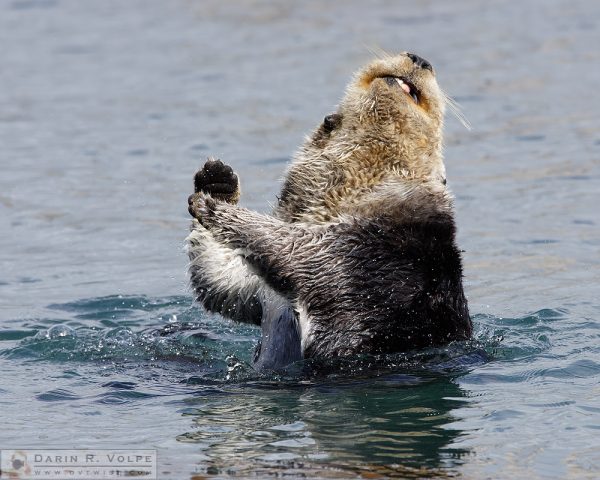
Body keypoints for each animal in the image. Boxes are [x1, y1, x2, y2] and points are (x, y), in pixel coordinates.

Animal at [185, 51, 472, 368]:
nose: (419, 58)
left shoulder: (359, 251)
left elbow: (289, 246)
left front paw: (214, 207)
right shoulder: (260, 292)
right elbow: (221, 284)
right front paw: (217, 181)